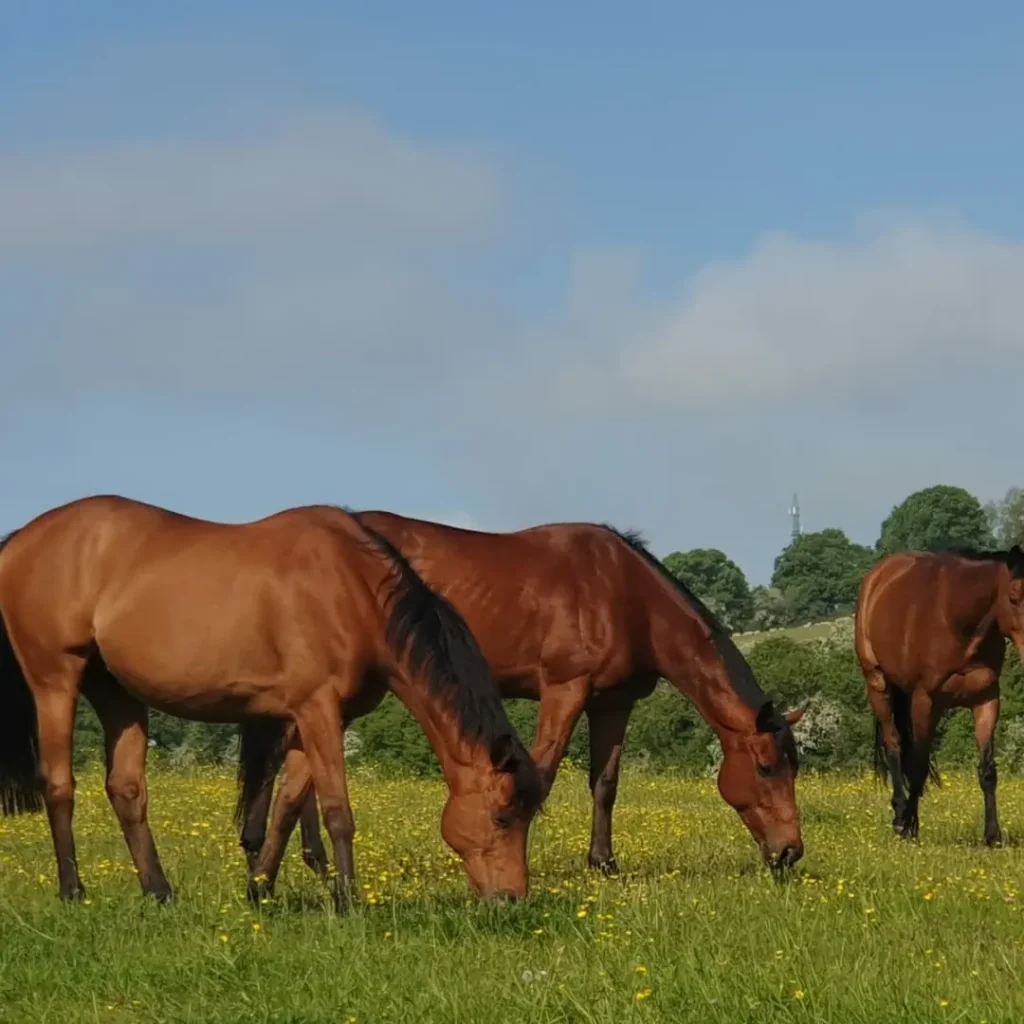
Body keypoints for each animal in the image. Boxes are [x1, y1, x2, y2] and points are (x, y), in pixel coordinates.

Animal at [0, 495, 543, 909]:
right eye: (502, 817)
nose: (512, 901)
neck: (353, 589)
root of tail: (23, 538)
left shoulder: (314, 718)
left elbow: (286, 806)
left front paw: (260, 891)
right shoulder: (317, 708)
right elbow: (336, 811)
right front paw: (349, 903)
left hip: (117, 693)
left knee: (127, 790)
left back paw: (159, 892)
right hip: (56, 680)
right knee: (59, 785)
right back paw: (73, 891)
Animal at [238, 511, 806, 887]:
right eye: (766, 768)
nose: (790, 853)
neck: (625, 593)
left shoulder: (612, 703)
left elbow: (605, 783)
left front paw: (604, 864)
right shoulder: (565, 689)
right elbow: (545, 771)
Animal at [856, 545, 1024, 845]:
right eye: (1014, 598)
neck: (957, 620)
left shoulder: (986, 699)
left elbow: (988, 770)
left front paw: (992, 836)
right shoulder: (925, 700)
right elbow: (918, 766)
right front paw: (909, 826)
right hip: (878, 684)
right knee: (894, 746)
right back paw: (900, 817)